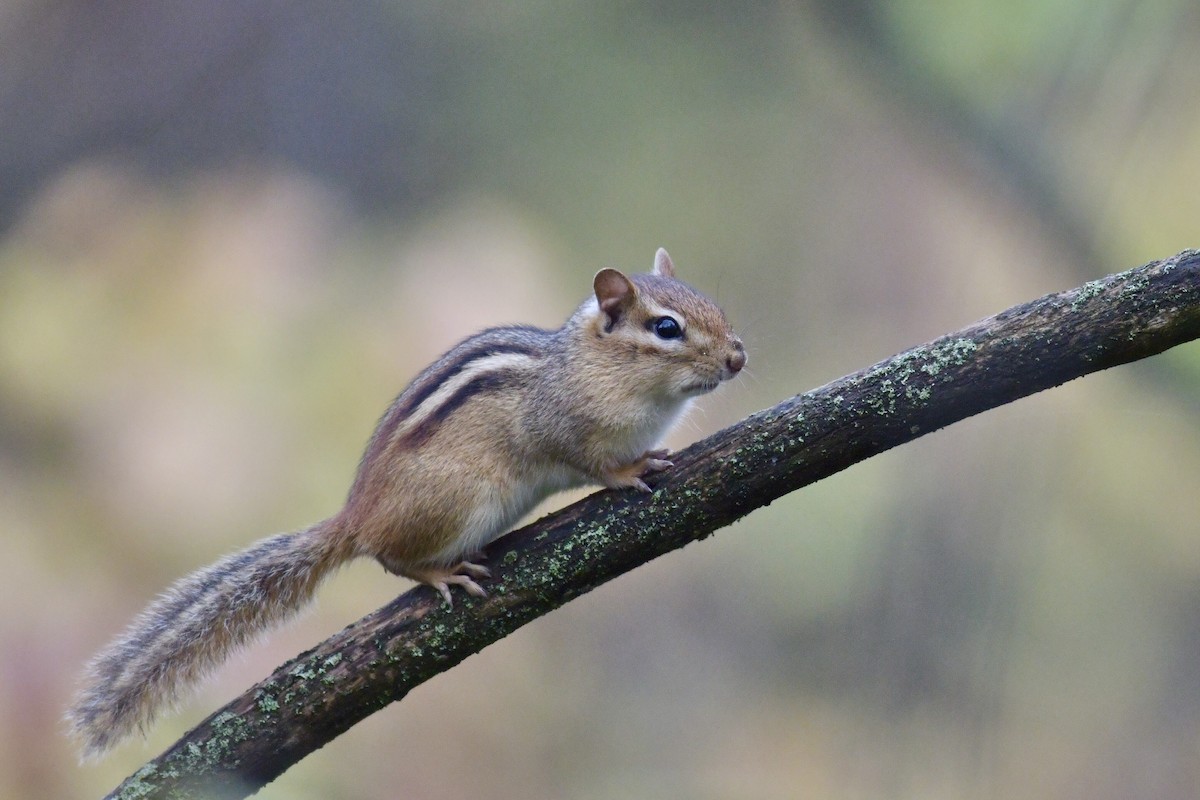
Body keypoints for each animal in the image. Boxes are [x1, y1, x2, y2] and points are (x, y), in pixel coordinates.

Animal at [67, 247, 746, 759]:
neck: (595, 367)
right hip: (461, 501)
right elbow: (595, 464)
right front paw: (631, 472)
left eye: (715, 306)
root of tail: (354, 516)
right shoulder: (567, 429)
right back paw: (441, 573)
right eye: (666, 328)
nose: (738, 356)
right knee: (390, 558)